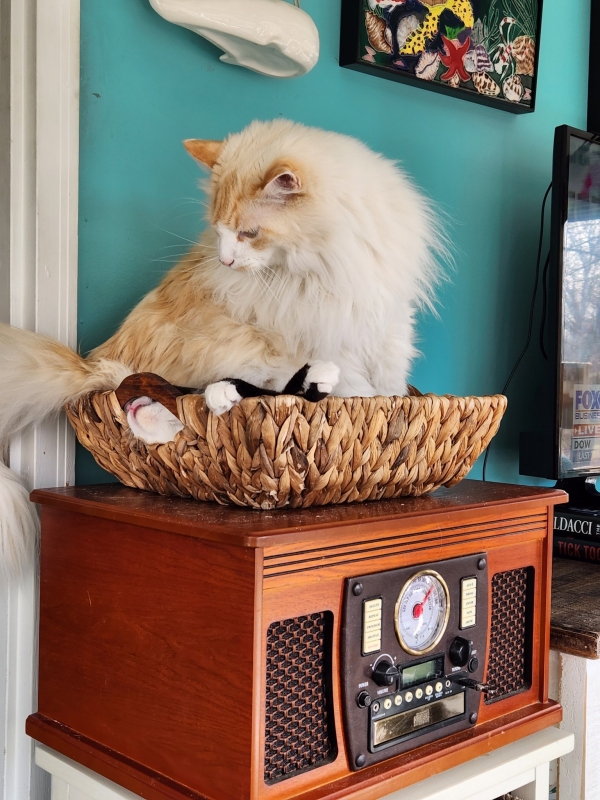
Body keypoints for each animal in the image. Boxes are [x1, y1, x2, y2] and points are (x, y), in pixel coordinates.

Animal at [0, 117, 442, 576]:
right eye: (219, 231)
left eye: (249, 233)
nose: (226, 261)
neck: (331, 259)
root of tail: (95, 360)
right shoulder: (322, 333)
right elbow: (357, 383)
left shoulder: (387, 324)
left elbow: (390, 382)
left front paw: (398, 410)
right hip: (228, 355)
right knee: (162, 402)